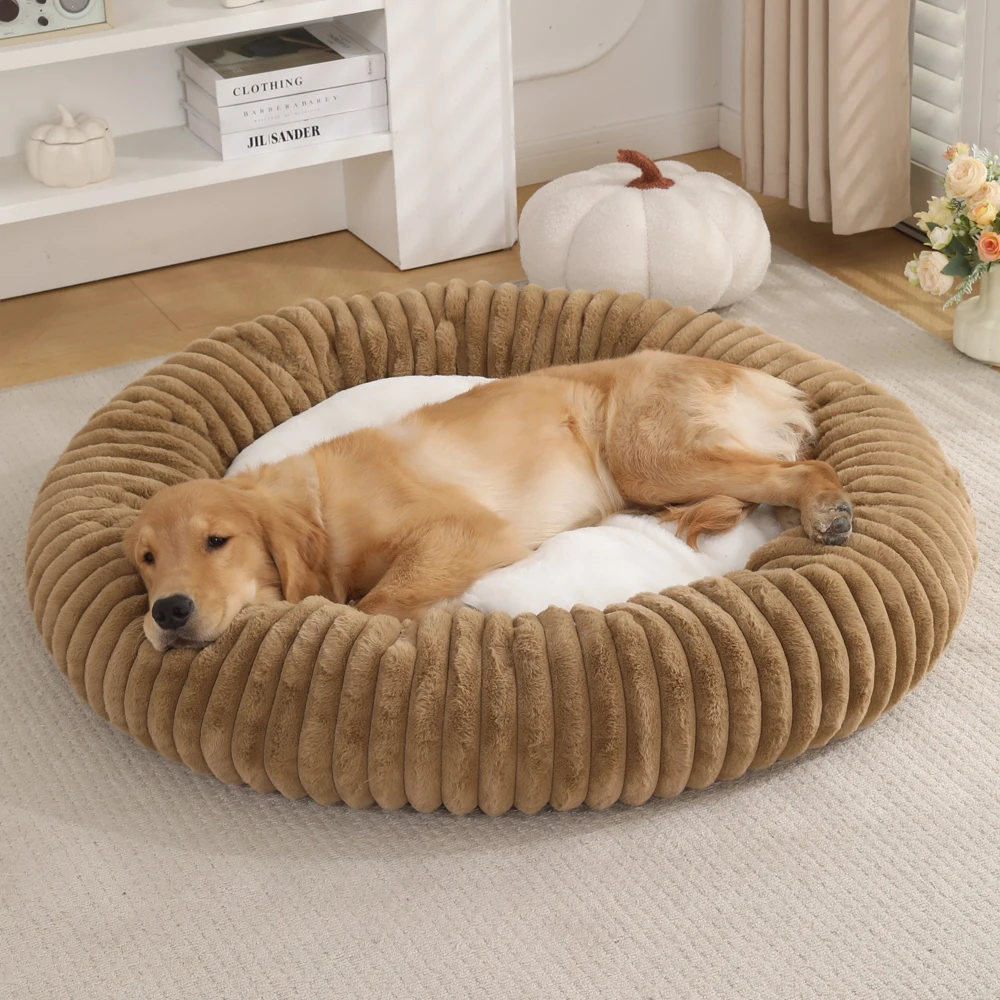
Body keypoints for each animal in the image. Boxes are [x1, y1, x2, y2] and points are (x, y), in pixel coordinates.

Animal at [125, 351, 852, 651]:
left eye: (217, 541)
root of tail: (751, 374)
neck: (320, 509)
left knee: (803, 467)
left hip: (648, 460)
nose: (168, 612)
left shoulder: (467, 531)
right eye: (146, 560)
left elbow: (376, 602)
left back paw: (825, 509)